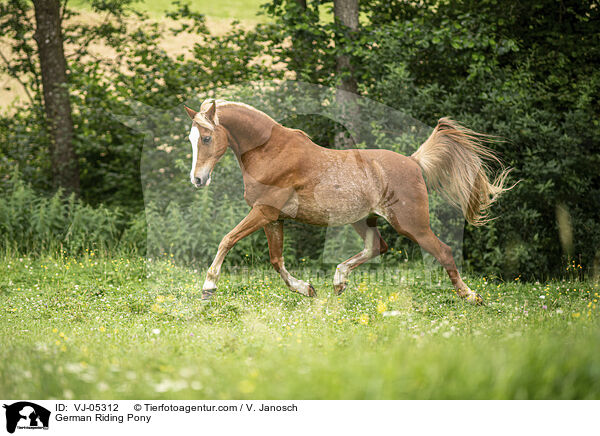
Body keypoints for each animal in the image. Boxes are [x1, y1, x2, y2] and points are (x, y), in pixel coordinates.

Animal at [183, 99, 510, 304]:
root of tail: (414, 162)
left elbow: (227, 239)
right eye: (191, 139)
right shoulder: (273, 217)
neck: (270, 151)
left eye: (207, 138)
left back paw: (471, 297)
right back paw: (339, 280)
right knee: (377, 247)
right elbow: (276, 261)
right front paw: (307, 289)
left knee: (443, 251)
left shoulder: (264, 211)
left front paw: (208, 287)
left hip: (411, 224)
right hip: (362, 219)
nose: (197, 180)